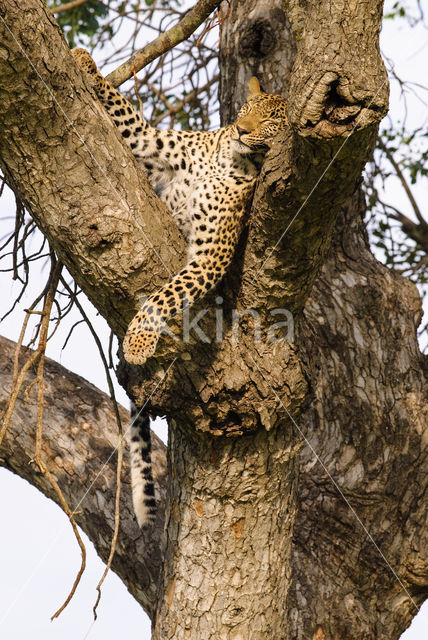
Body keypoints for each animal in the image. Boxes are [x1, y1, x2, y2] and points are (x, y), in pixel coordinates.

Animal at [72, 48, 290, 524]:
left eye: (270, 123)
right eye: (246, 111)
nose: (242, 131)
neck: (230, 158)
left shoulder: (211, 256)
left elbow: (166, 294)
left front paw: (139, 340)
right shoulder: (154, 143)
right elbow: (129, 117)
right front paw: (85, 63)